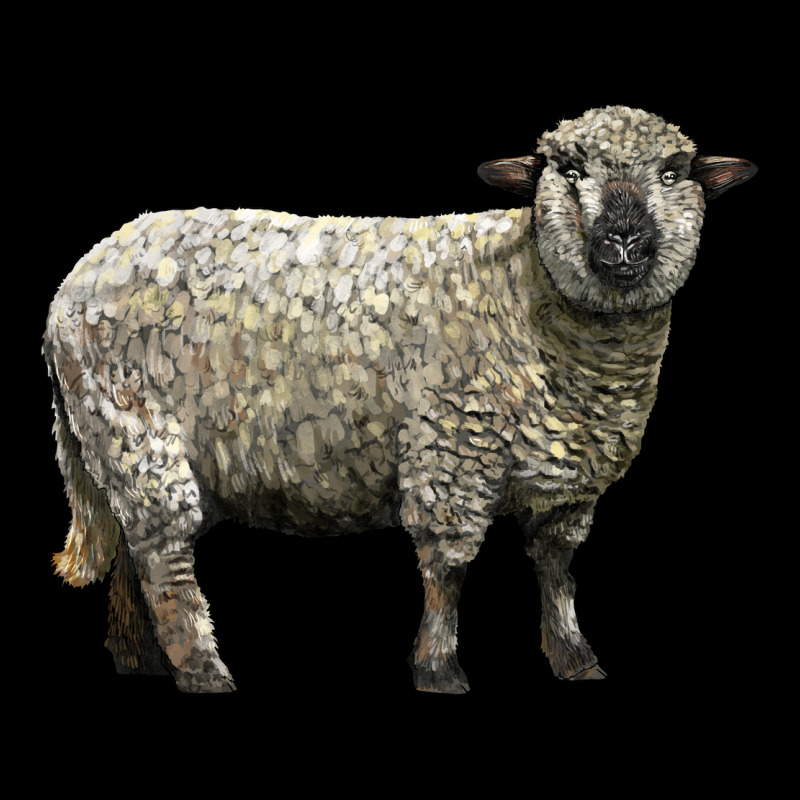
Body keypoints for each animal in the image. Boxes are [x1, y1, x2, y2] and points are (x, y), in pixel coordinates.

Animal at [43, 105, 757, 693]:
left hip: (116, 448)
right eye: (571, 170)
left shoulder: (569, 479)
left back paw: (138, 658)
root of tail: (78, 278)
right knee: (166, 562)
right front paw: (439, 669)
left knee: (134, 550)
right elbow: (449, 565)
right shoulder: (453, 447)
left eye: (672, 173)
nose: (623, 242)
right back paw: (202, 671)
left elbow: (558, 568)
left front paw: (575, 658)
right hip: (136, 429)